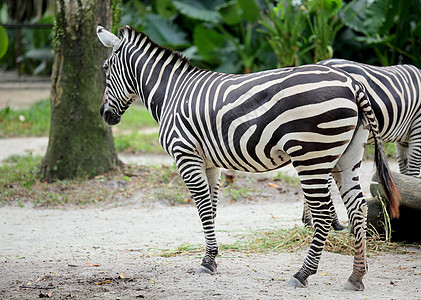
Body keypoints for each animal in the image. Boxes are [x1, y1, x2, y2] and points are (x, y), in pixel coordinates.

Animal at [96, 25, 400, 290]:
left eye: (105, 69)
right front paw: (211, 257)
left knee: (323, 213)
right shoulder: (209, 162)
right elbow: (211, 208)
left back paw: (302, 274)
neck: (171, 93)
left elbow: (203, 207)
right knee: (358, 208)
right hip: (346, 157)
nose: (104, 115)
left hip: (311, 155)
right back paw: (356, 277)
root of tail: (352, 83)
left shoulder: (186, 154)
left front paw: (207, 261)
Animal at [302, 58, 420, 230]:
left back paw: (309, 220)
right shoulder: (417, 128)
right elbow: (414, 172)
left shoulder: (403, 141)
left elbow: (405, 172)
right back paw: (333, 223)